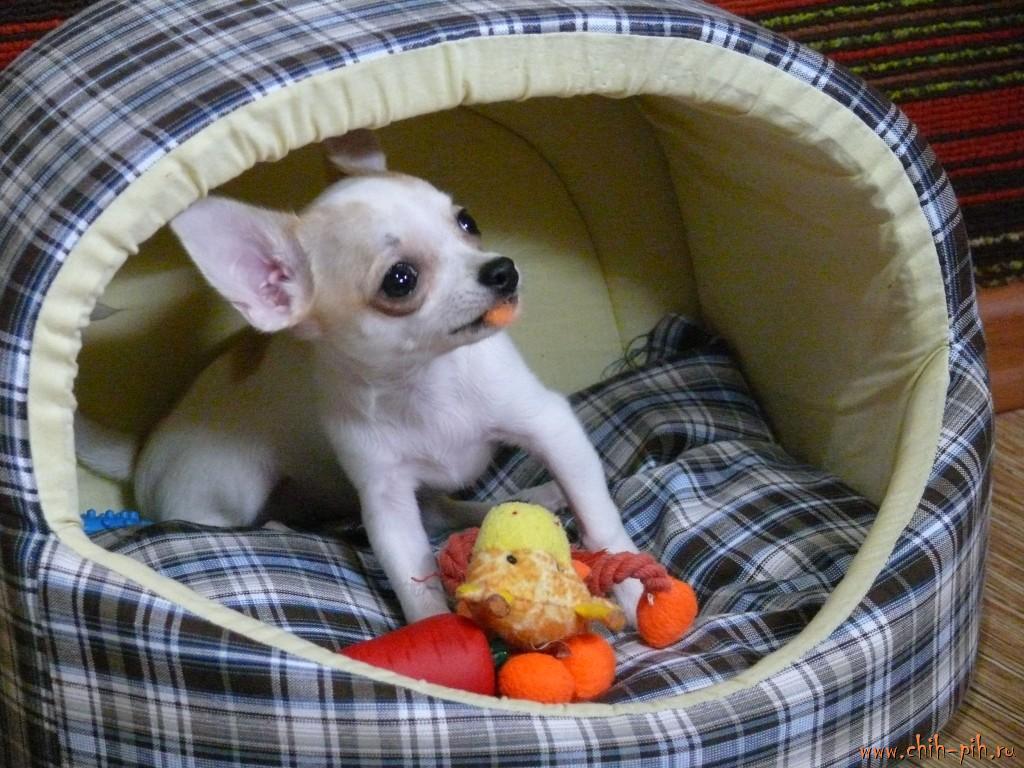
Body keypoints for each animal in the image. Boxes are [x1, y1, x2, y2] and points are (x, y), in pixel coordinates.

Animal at [77, 130, 642, 624]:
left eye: (466, 221)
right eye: (400, 280)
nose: (502, 269)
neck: (423, 379)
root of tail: (144, 448)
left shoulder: (551, 425)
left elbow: (602, 522)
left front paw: (634, 593)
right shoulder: (386, 503)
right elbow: (413, 578)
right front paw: (438, 639)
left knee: (447, 510)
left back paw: (536, 497)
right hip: (228, 489)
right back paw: (285, 528)